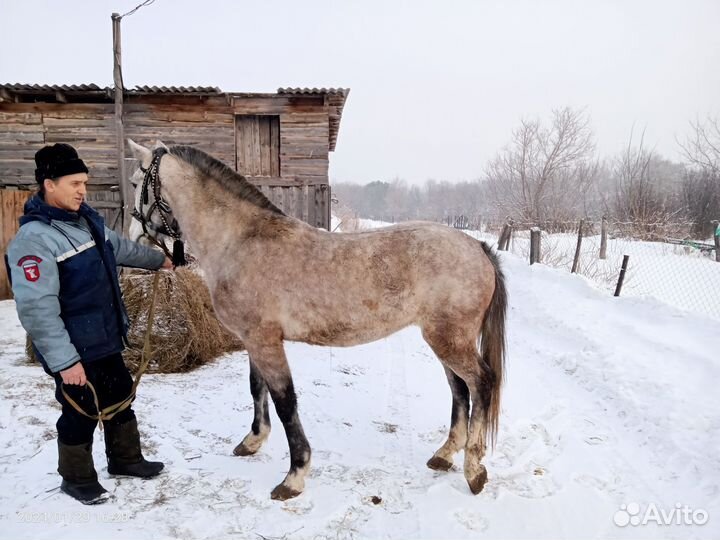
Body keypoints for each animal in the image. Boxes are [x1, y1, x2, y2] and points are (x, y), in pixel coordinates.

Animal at [127, 139, 508, 500]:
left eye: (135, 181)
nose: (133, 236)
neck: (242, 242)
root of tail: (477, 247)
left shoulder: (265, 342)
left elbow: (285, 402)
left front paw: (294, 476)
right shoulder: (254, 339)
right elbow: (256, 389)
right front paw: (252, 441)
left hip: (449, 340)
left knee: (482, 383)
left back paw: (474, 469)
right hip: (444, 339)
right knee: (460, 389)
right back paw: (444, 455)